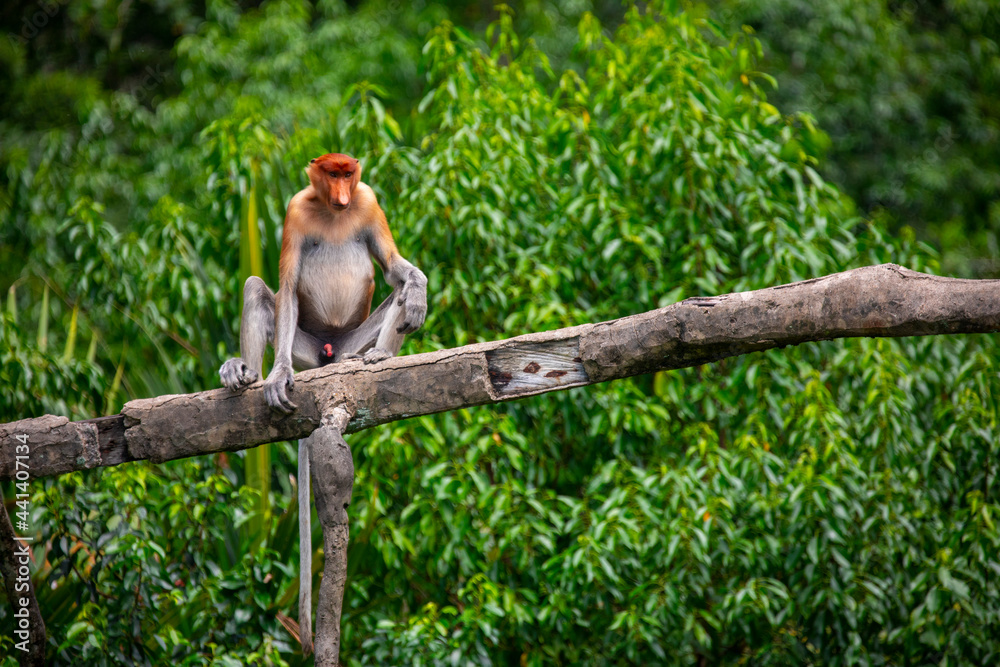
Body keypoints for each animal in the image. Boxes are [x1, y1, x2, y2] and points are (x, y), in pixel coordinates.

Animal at [218, 153, 427, 655]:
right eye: (332, 174)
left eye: (350, 174)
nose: (343, 195)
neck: (333, 212)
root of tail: (329, 354)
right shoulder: (296, 210)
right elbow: (287, 285)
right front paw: (274, 378)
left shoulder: (369, 201)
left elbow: (396, 269)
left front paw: (419, 289)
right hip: (305, 349)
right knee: (258, 290)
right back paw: (248, 376)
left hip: (349, 341)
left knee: (395, 294)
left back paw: (379, 356)